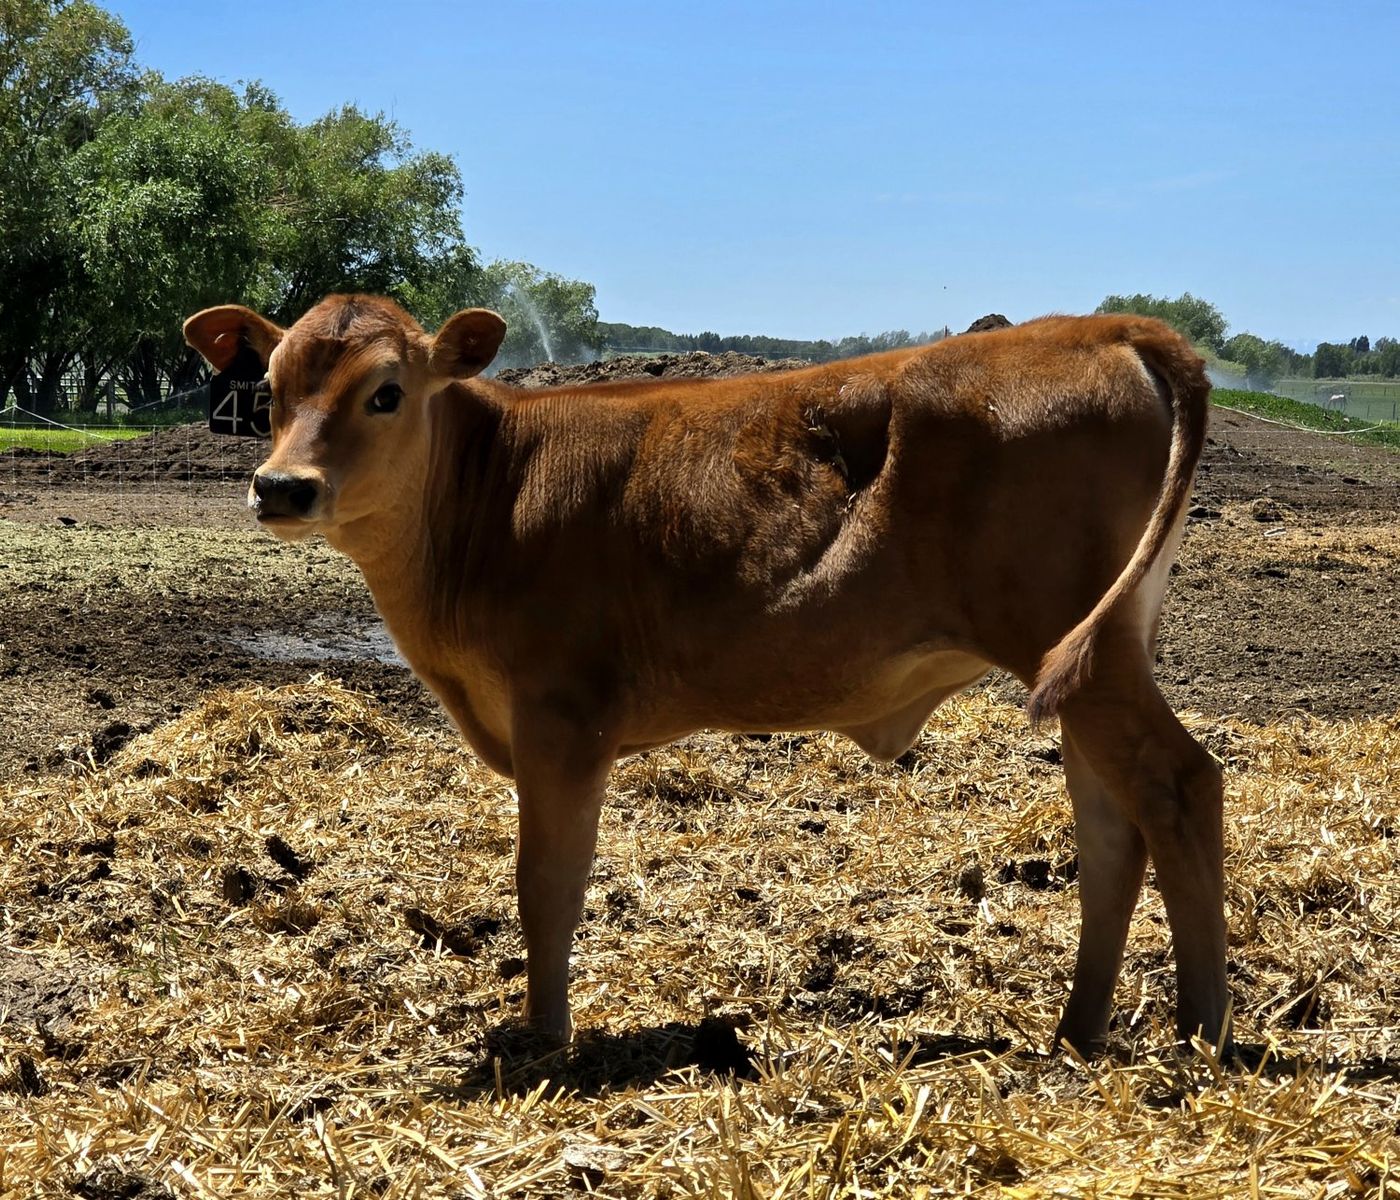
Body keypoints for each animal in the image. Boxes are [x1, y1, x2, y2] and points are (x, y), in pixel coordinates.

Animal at [184, 296, 1228, 1055]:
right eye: (269, 389)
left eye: (387, 392)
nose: (281, 487)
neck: (491, 496)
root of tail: (1103, 325)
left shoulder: (563, 716)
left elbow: (546, 882)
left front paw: (546, 1036)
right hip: (1098, 652)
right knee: (1111, 823)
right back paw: (1078, 1031)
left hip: (1074, 647)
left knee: (1179, 784)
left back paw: (1203, 1034)